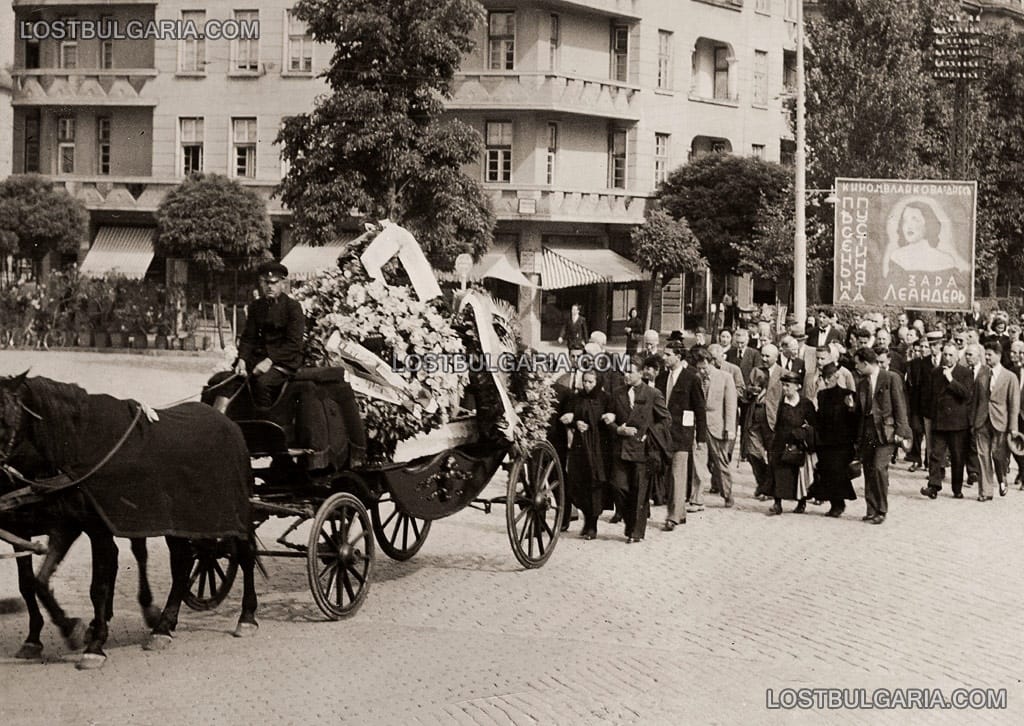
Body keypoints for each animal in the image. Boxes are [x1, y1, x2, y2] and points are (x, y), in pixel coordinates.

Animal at [0, 374, 256, 667]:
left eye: (4, 418)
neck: (82, 445)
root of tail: (229, 424)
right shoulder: (60, 526)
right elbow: (35, 582)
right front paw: (65, 631)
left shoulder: (92, 529)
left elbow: (97, 585)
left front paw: (94, 645)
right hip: (177, 522)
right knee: (181, 563)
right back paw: (163, 627)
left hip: (236, 513)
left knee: (245, 554)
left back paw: (246, 618)